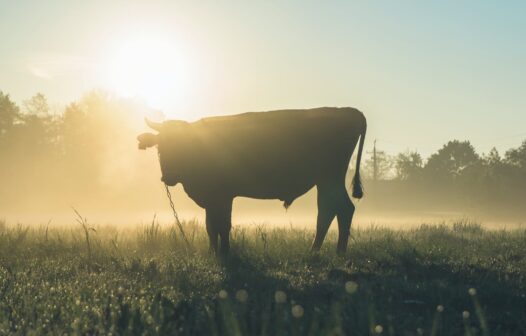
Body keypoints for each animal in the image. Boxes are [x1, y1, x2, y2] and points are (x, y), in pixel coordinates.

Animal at [138, 106, 370, 256]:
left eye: (182, 144)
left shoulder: (223, 196)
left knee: (338, 209)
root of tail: (349, 111)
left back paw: (332, 252)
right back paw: (322, 250)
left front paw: (225, 253)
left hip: (330, 178)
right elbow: (210, 226)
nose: (168, 176)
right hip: (325, 181)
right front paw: (213, 252)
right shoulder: (213, 199)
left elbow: (223, 225)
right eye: (161, 146)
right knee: (331, 210)